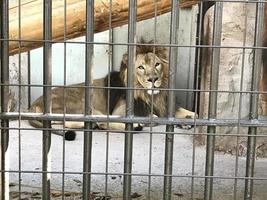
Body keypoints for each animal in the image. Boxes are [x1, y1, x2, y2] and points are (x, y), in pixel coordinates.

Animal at [28, 40, 197, 141]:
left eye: (157, 64)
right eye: (141, 67)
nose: (153, 79)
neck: (147, 95)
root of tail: (34, 105)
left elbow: (189, 114)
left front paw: (187, 120)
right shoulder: (121, 111)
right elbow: (154, 118)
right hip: (85, 106)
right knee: (72, 123)